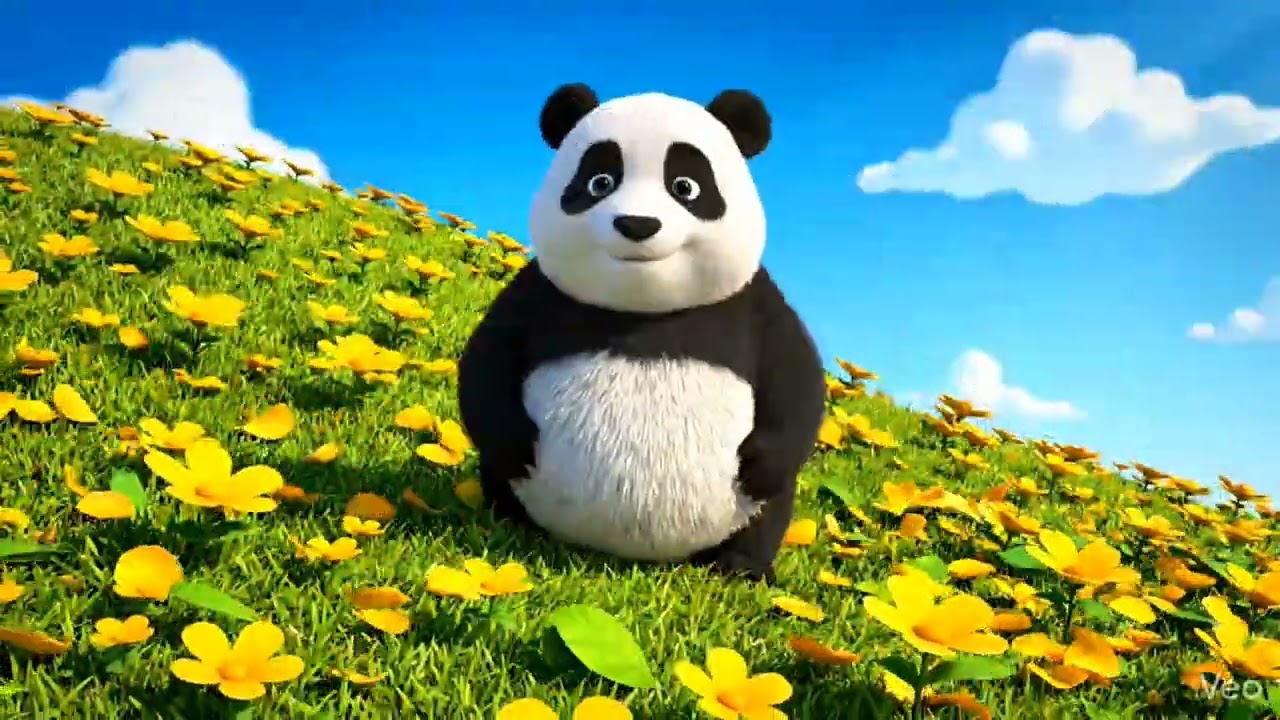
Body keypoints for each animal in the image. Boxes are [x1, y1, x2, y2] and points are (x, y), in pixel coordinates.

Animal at [457, 83, 826, 582]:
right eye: (600, 182)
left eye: (686, 187)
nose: (637, 224)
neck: (643, 308)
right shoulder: (537, 291)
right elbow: (487, 364)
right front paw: (518, 443)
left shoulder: (755, 302)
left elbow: (798, 379)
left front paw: (760, 463)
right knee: (500, 479)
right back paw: (505, 527)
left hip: (743, 513)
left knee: (768, 513)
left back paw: (739, 568)